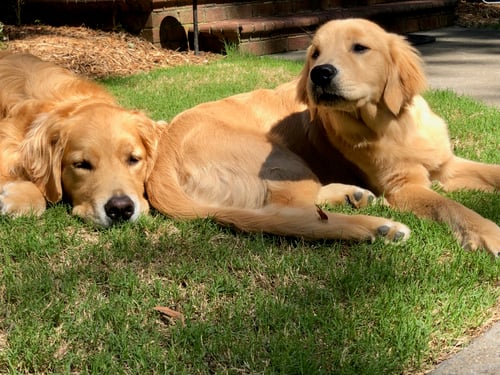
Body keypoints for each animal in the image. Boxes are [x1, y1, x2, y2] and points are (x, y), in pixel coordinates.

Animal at [147, 16, 500, 253]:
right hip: (279, 157)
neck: (393, 125)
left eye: (360, 48)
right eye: (315, 53)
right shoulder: (402, 186)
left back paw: (353, 196)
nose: (320, 74)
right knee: (290, 216)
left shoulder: (447, 164)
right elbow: (451, 206)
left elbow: (491, 172)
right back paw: (378, 228)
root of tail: (162, 155)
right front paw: (488, 233)